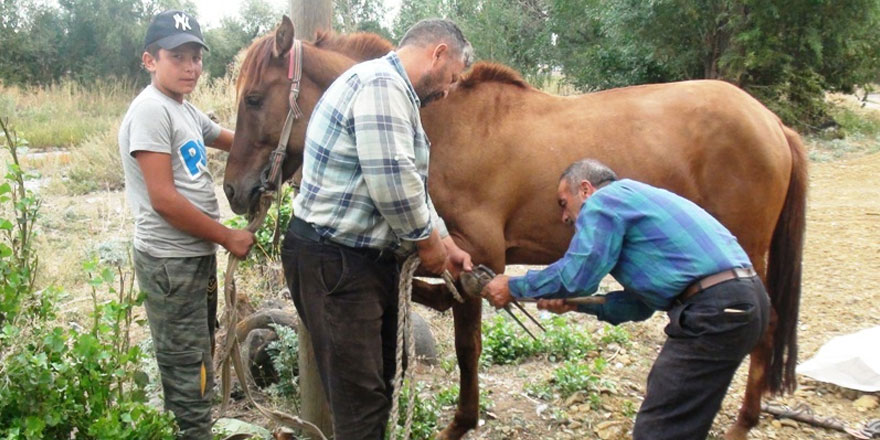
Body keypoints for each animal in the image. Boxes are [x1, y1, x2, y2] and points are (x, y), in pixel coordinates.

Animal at [225, 17, 804, 440]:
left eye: (253, 98)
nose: (234, 190)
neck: (442, 125)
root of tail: (773, 123)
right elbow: (435, 292)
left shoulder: (484, 253)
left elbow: (467, 344)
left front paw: (460, 423)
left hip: (747, 250)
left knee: (764, 327)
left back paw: (742, 424)